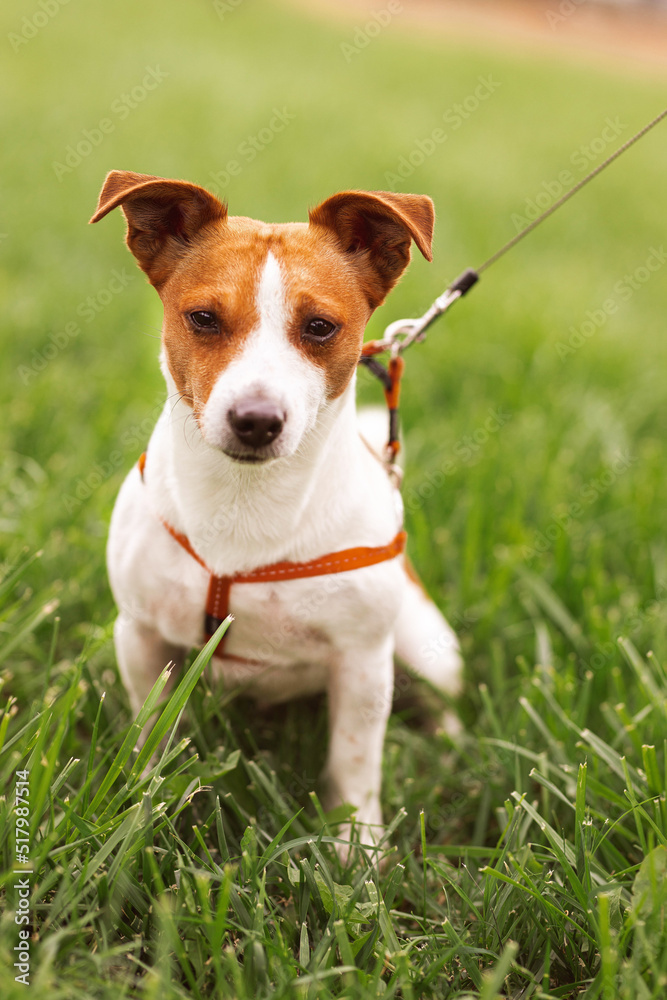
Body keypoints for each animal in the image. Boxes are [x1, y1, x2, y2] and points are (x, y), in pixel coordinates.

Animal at [91, 170, 462, 852]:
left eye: (319, 327)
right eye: (203, 318)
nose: (257, 420)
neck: (245, 501)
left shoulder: (362, 662)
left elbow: (354, 762)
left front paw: (357, 849)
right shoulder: (141, 635)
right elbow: (151, 730)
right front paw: (141, 807)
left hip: (428, 645)